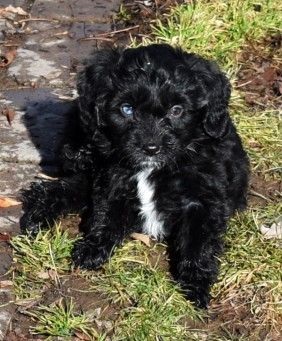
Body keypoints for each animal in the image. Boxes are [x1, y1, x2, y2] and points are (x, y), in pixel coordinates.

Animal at [20, 43, 249, 306]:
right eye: (127, 109)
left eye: (177, 110)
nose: (150, 148)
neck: (153, 168)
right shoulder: (112, 180)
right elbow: (105, 214)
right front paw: (92, 249)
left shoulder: (204, 198)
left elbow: (198, 242)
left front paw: (195, 286)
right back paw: (37, 213)